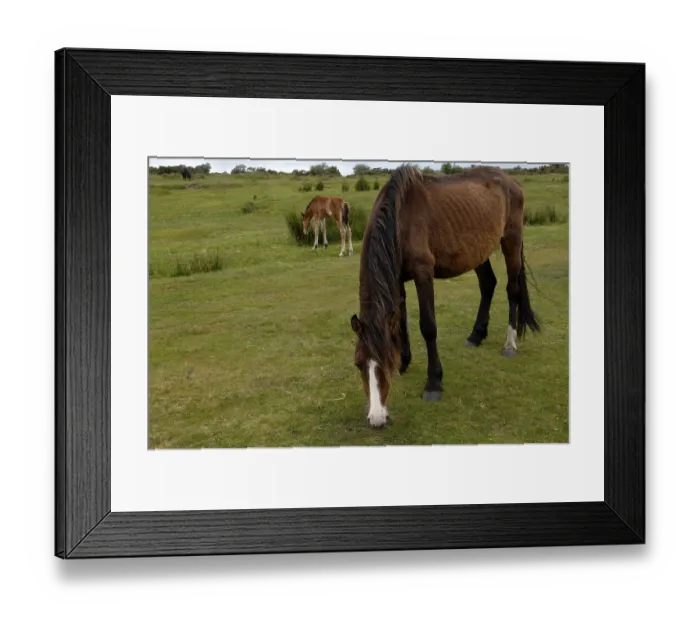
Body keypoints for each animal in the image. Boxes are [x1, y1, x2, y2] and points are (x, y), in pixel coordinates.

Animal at [350, 164, 541, 428]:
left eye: (384, 361)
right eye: (358, 363)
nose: (377, 418)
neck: (400, 219)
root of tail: (512, 181)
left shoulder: (423, 274)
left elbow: (428, 327)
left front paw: (434, 382)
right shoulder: (397, 279)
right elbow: (400, 321)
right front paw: (404, 361)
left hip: (511, 240)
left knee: (512, 291)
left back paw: (509, 344)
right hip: (477, 251)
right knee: (488, 285)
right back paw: (476, 335)